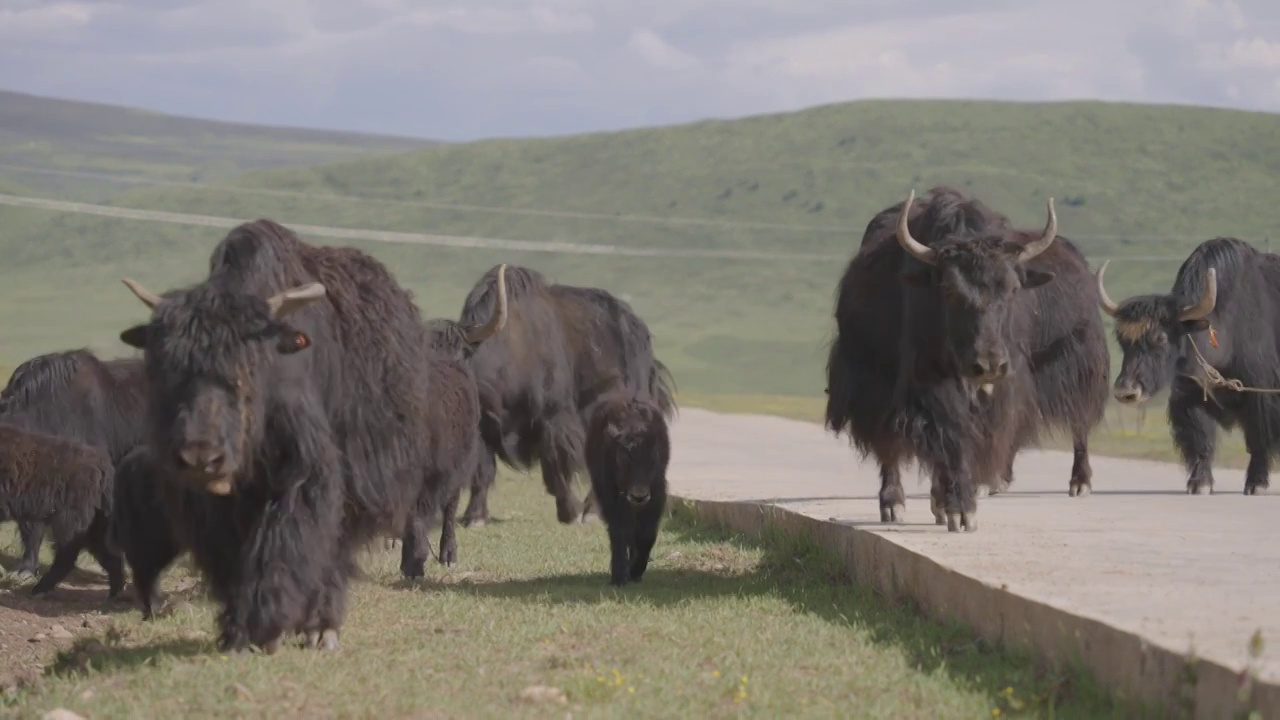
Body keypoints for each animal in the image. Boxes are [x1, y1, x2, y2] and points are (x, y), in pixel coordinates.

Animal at [0, 422, 122, 597]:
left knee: (66, 557)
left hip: (70, 522)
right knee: (110, 556)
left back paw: (40, 589)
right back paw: (114, 593)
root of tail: (105, 468)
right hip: (95, 524)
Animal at [586, 394, 675, 586]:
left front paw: (635, 571)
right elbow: (619, 531)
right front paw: (620, 577)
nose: (638, 496)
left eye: (653, 459)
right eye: (623, 460)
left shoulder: (657, 495)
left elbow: (647, 534)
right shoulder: (611, 497)